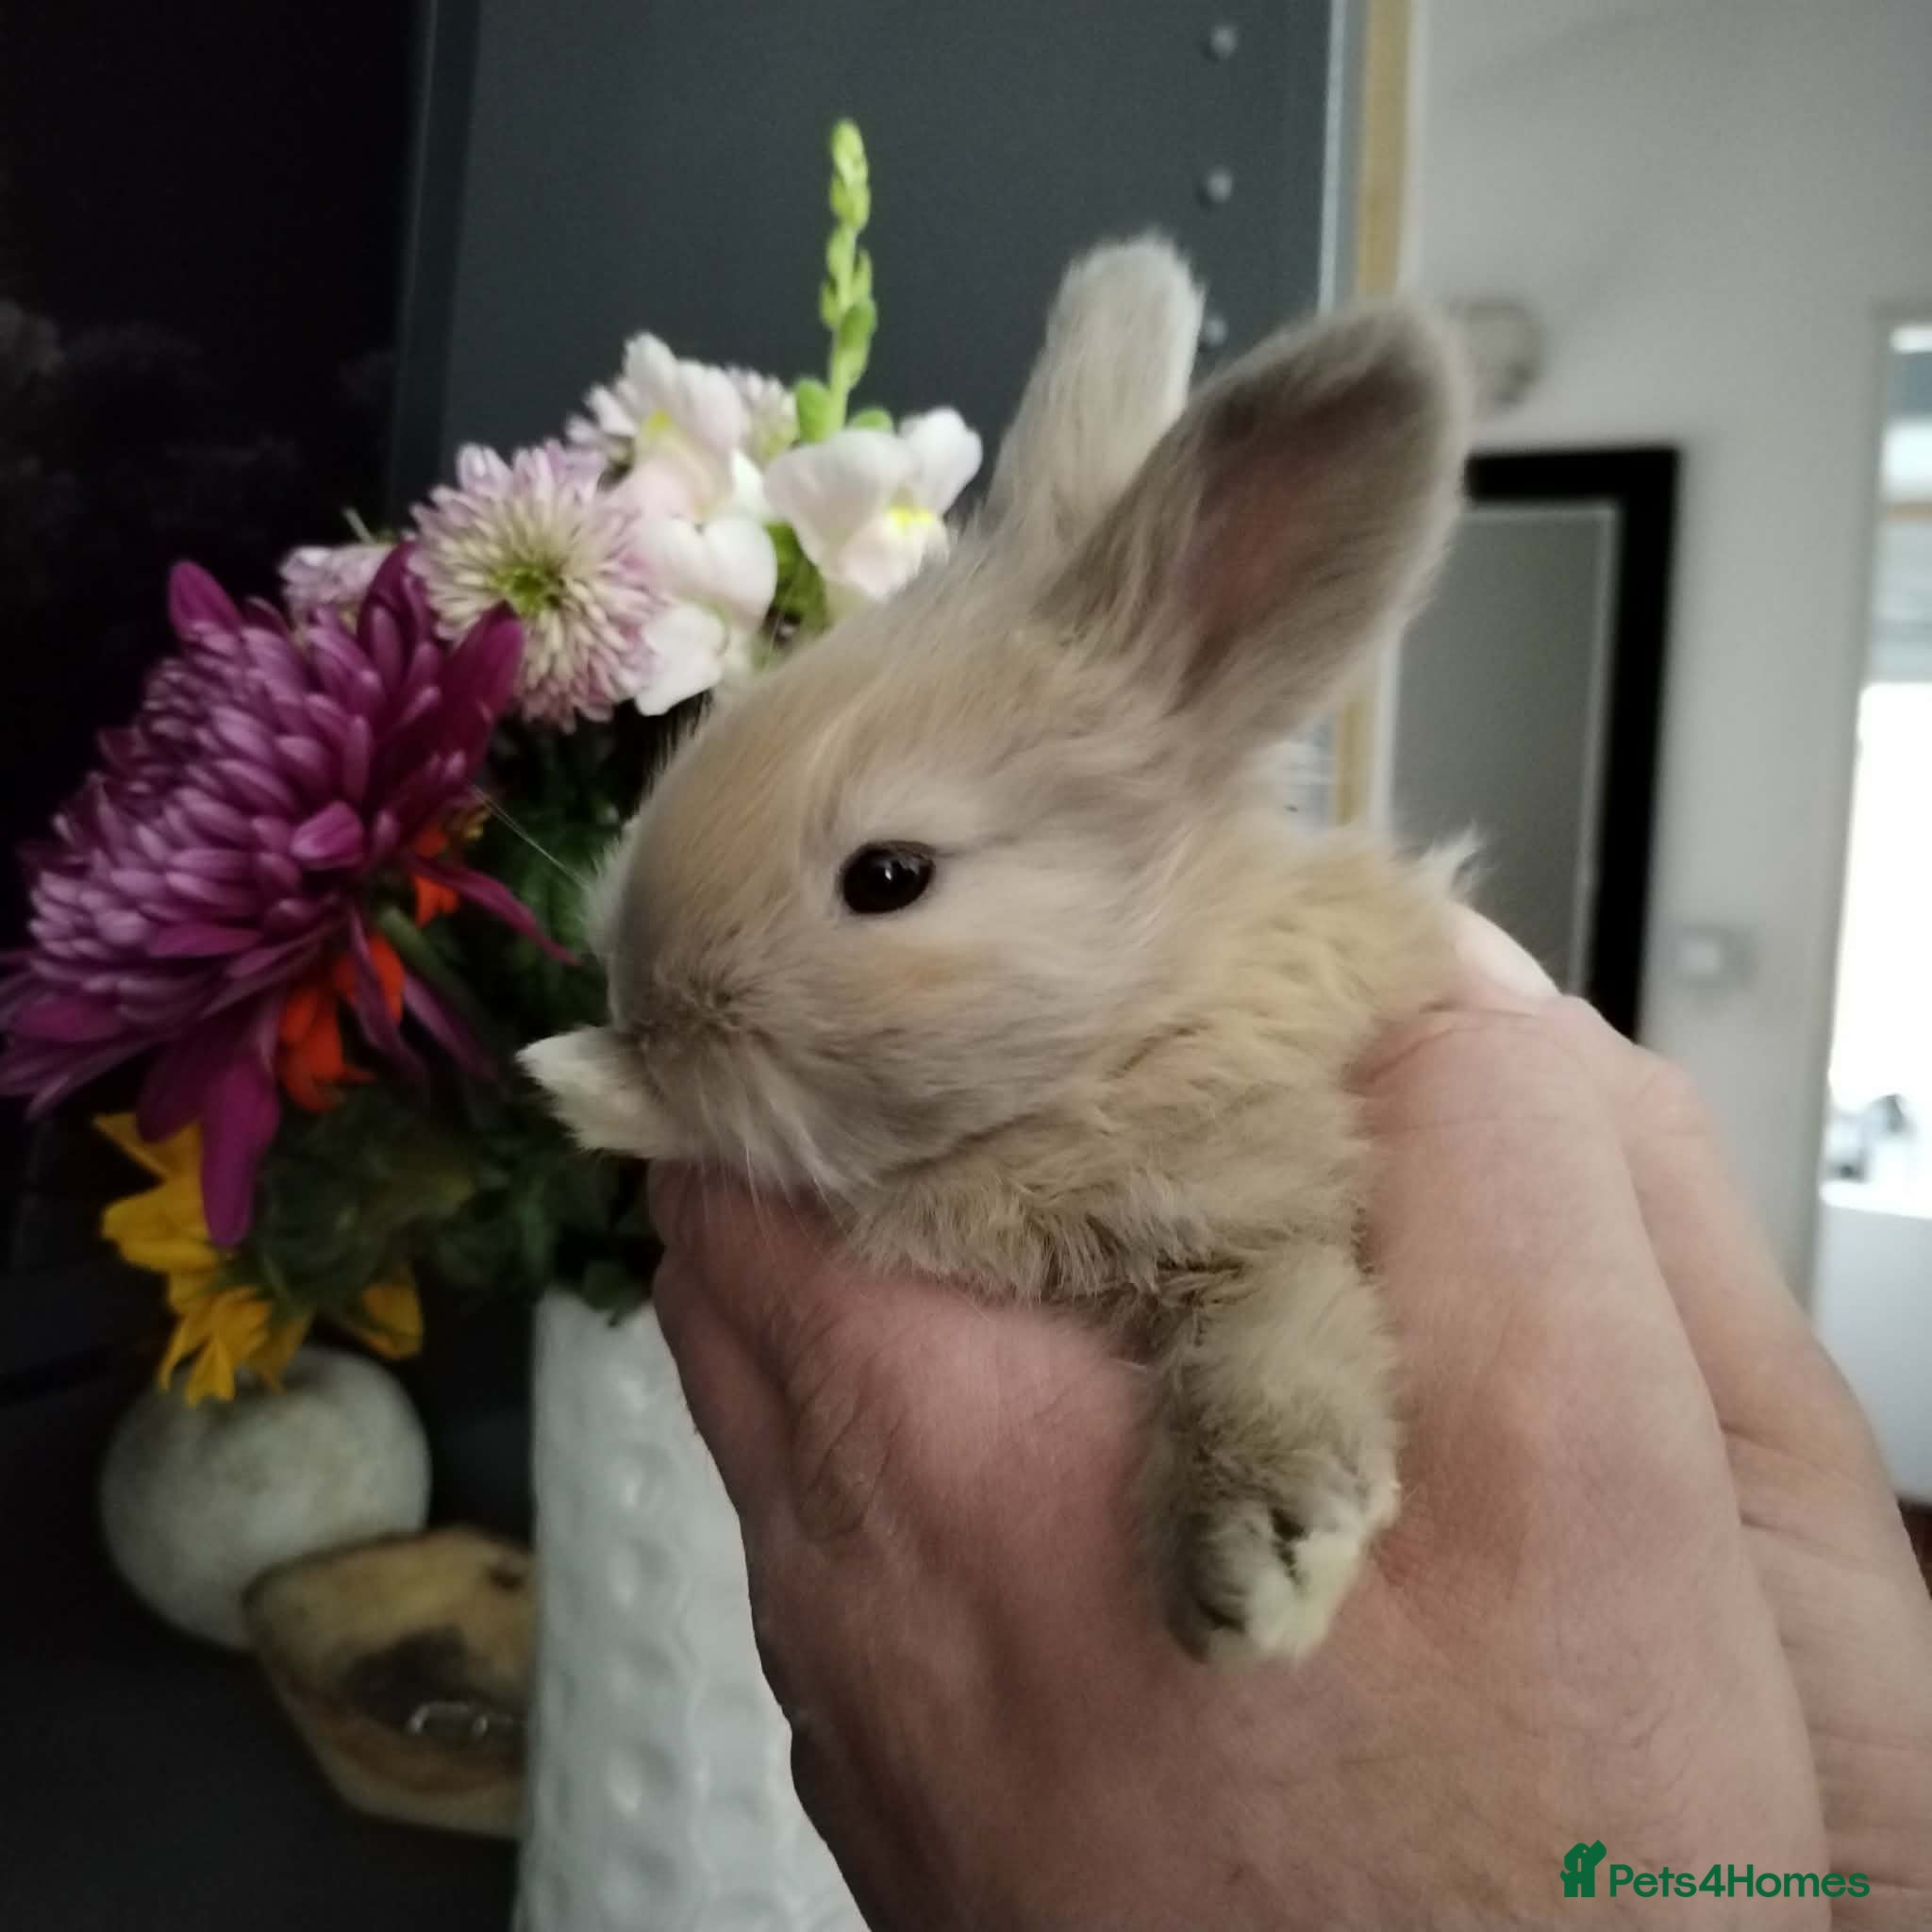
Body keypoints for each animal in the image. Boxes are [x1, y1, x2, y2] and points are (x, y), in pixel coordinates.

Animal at [523, 236, 1471, 1664]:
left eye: (889, 877)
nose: (646, 1001)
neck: (1137, 1023)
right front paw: (582, 1068)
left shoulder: (1260, 1210)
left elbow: (1284, 1344)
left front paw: (1260, 1574)